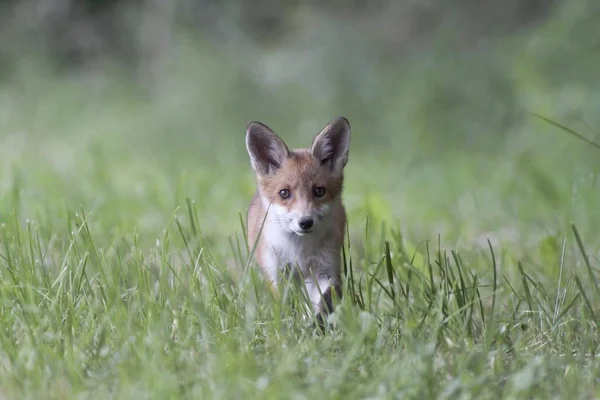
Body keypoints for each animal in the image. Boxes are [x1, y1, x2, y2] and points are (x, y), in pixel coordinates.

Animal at [245, 117, 352, 324]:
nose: (305, 222)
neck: (299, 252)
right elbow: (288, 306)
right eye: (284, 193)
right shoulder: (278, 274)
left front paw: (317, 323)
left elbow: (324, 301)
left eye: (319, 191)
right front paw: (293, 326)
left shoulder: (325, 271)